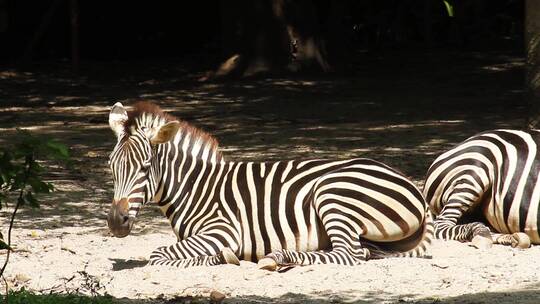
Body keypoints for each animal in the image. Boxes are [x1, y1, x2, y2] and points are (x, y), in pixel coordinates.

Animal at [107, 101, 432, 270]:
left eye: (145, 168)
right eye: (111, 166)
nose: (115, 222)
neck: (196, 188)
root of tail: (410, 183)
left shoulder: (224, 230)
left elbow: (157, 256)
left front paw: (221, 257)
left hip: (332, 193)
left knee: (347, 255)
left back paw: (278, 257)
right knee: (359, 251)